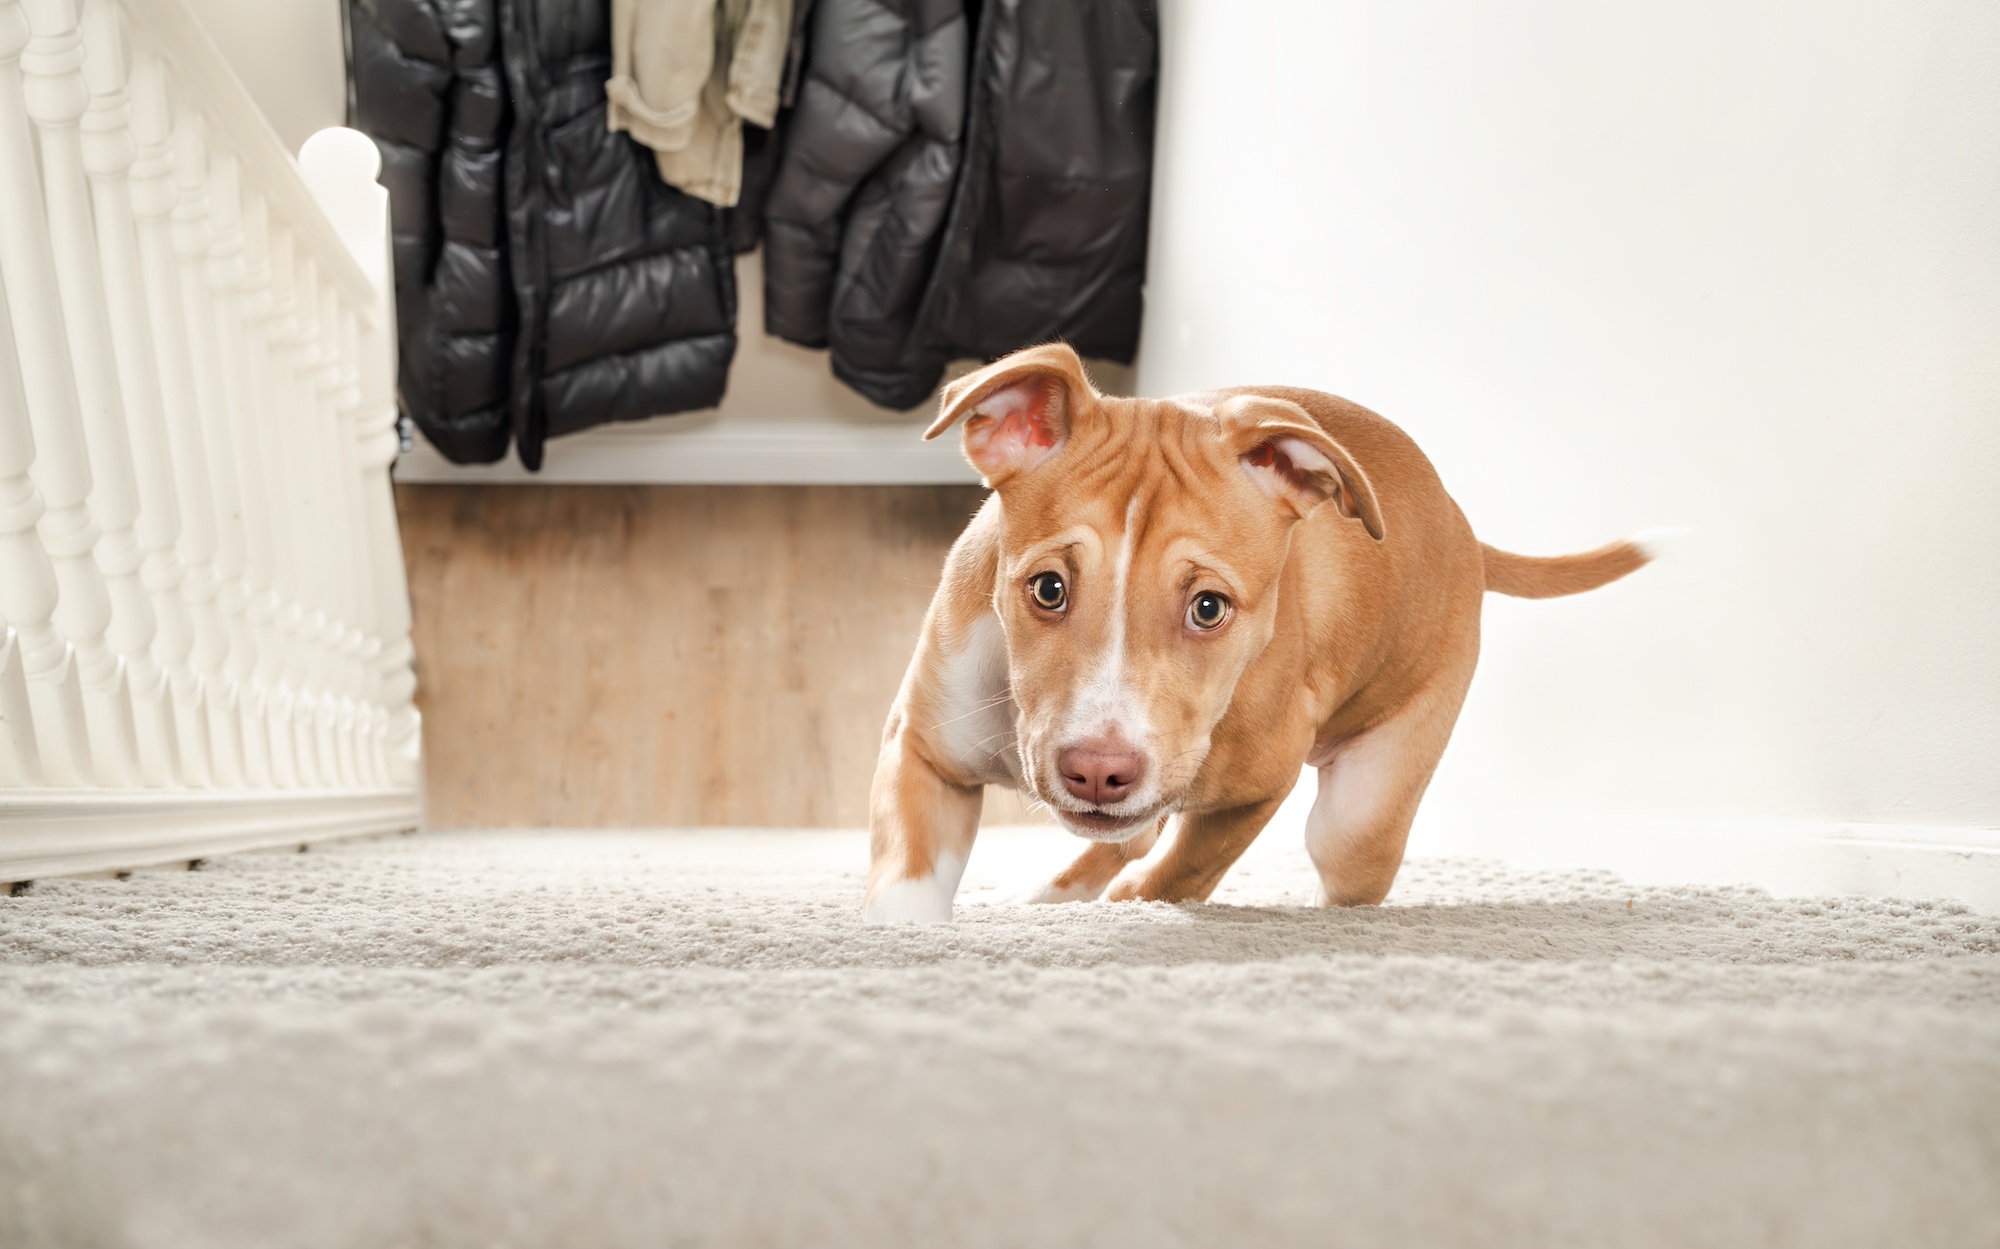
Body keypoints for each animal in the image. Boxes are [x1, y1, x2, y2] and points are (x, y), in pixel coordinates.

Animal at [868, 346, 1664, 920]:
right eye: (1047, 589)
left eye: (1208, 607)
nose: (1098, 770)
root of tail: (1464, 530)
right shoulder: (923, 747)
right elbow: (907, 873)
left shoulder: (1259, 783)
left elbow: (1179, 871)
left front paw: (1130, 905)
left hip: (1360, 819)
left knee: (1339, 861)